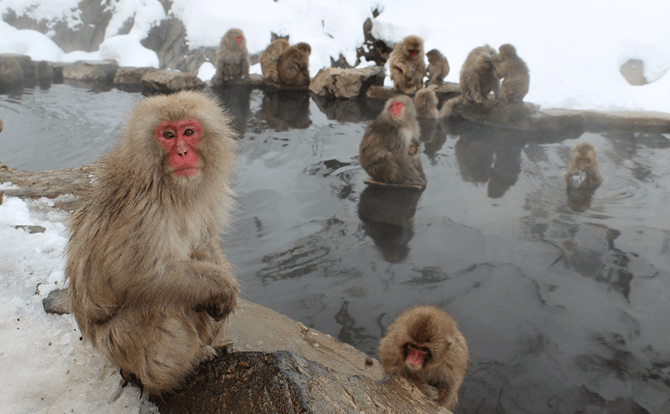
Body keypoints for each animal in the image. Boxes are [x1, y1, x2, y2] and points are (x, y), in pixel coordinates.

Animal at [65, 90, 242, 394]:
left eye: (189, 132)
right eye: (168, 135)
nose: (182, 152)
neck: (168, 187)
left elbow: (204, 242)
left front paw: (224, 284)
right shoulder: (142, 210)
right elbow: (139, 276)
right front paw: (223, 287)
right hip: (120, 345)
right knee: (157, 303)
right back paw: (185, 364)